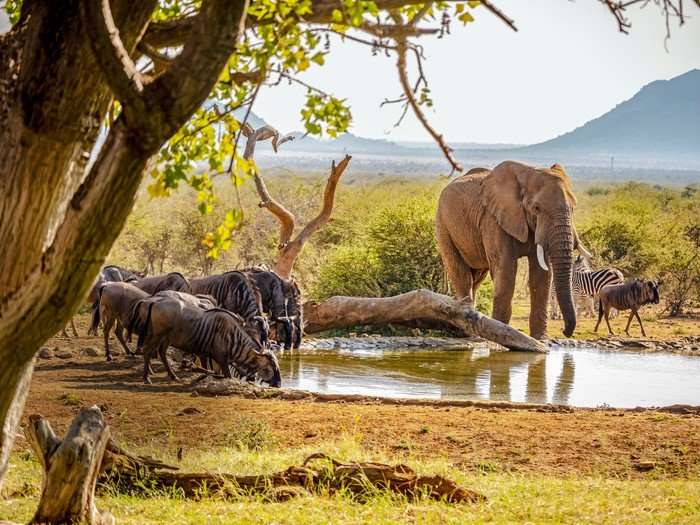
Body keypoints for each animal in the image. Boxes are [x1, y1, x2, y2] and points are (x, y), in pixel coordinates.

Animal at [435, 161, 587, 339]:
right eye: (537, 208)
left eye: (573, 208)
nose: (565, 331)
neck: (528, 172)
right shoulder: (493, 220)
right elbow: (506, 270)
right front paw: (499, 335)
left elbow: (542, 275)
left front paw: (540, 338)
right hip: (443, 223)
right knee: (461, 274)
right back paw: (466, 333)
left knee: (476, 277)